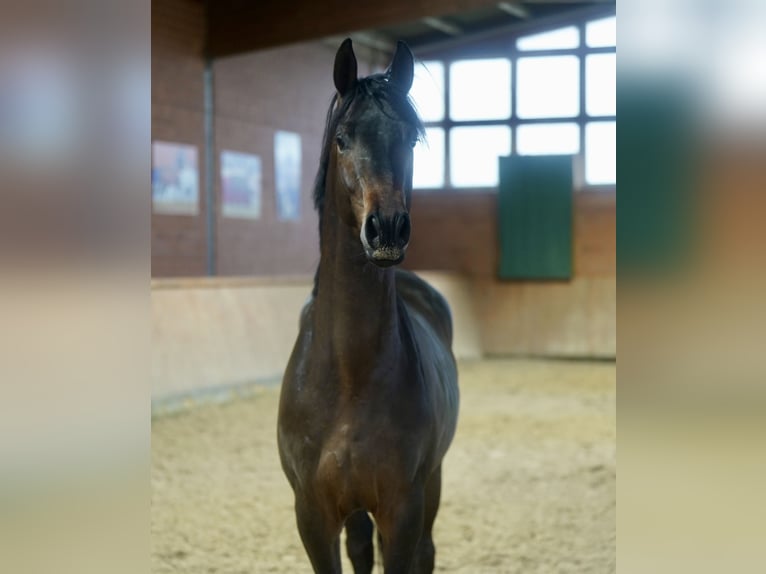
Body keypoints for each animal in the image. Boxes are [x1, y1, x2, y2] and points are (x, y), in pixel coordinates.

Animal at [282, 38, 462, 572]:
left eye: (411, 139)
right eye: (343, 138)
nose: (387, 229)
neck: (350, 375)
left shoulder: (402, 509)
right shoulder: (313, 516)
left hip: (431, 484)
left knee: (426, 551)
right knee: (361, 546)